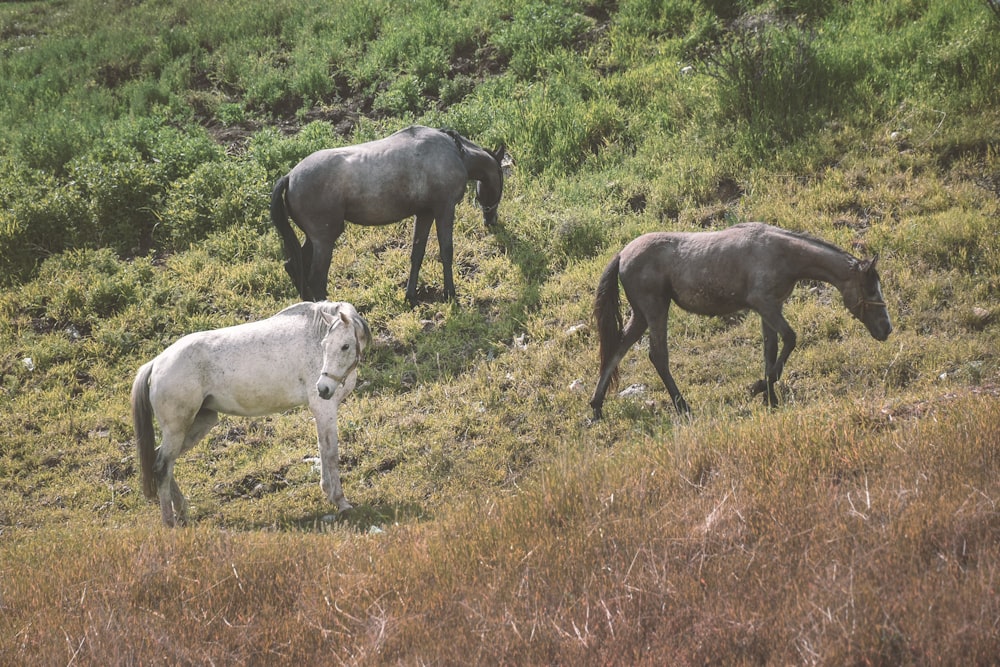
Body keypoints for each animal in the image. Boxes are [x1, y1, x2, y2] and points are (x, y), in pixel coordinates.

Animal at [129, 302, 372, 528]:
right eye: (324, 345)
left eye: (345, 346)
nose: (323, 388)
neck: (312, 337)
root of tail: (156, 363)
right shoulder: (324, 409)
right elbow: (330, 453)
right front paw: (341, 501)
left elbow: (322, 450)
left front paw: (329, 493)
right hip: (177, 429)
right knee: (162, 468)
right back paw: (170, 522)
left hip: (198, 424)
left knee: (163, 462)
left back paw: (182, 512)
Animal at [272, 124, 508, 306]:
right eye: (501, 176)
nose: (491, 220)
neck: (454, 151)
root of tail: (290, 176)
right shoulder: (444, 209)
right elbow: (446, 251)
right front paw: (450, 293)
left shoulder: (424, 213)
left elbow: (417, 253)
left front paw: (411, 296)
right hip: (324, 241)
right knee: (316, 279)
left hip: (316, 239)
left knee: (294, 266)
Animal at [584, 222, 892, 420]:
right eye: (870, 289)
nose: (887, 328)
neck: (781, 253)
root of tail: (622, 254)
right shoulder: (765, 304)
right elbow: (790, 339)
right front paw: (759, 388)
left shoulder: (770, 309)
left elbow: (770, 351)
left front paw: (770, 398)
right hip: (655, 310)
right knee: (658, 355)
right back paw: (683, 407)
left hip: (641, 316)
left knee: (616, 350)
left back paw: (597, 407)